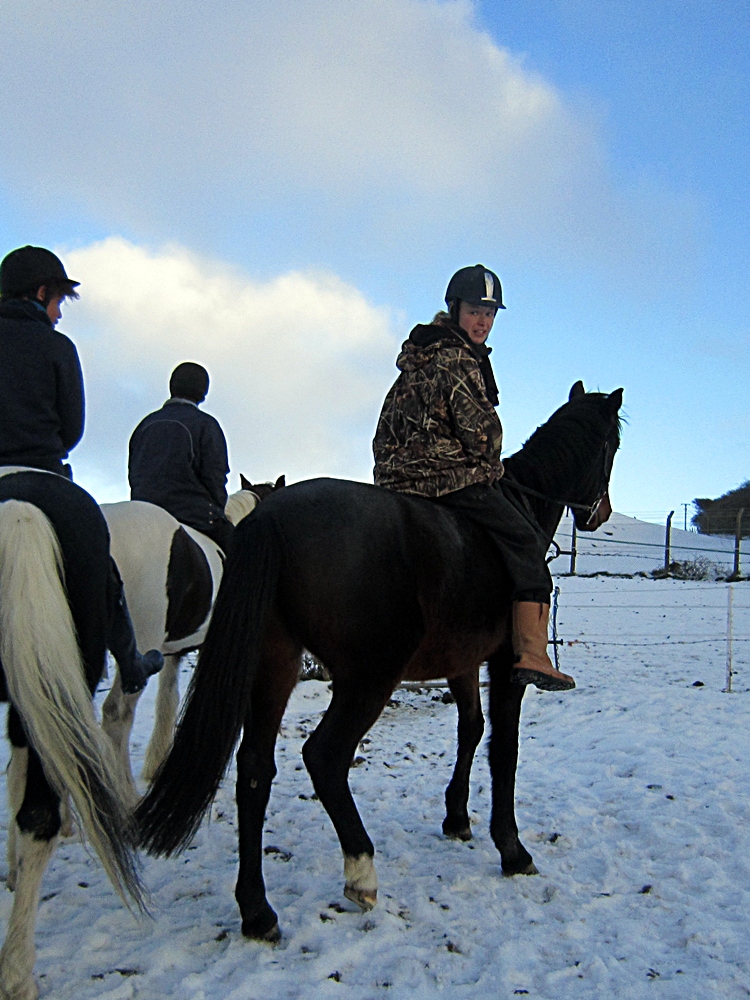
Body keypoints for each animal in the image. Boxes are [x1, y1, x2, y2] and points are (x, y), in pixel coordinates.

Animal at [137, 383, 623, 943]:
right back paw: (360, 873)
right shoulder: (504, 665)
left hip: (275, 662)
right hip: (367, 678)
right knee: (324, 757)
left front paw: (456, 817)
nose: (601, 513)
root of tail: (272, 517)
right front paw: (511, 848)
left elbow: (471, 729)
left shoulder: (461, 662)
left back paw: (257, 911)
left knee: (255, 768)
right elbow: (504, 749)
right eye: (611, 445)